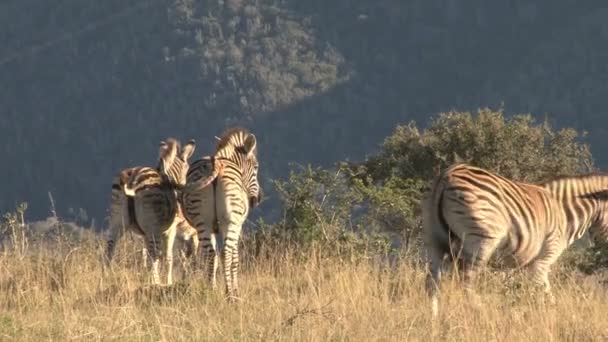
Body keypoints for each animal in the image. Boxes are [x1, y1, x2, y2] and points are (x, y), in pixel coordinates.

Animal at [105, 138, 196, 284]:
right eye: (187, 171)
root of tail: (132, 180)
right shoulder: (170, 229)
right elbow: (167, 257)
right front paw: (167, 282)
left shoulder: (145, 234)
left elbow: (147, 256)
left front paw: (147, 278)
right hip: (153, 227)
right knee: (154, 254)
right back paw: (156, 281)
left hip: (116, 220)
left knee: (109, 250)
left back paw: (105, 278)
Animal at [180, 127, 262, 300]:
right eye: (256, 167)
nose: (257, 199)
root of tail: (216, 165)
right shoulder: (238, 225)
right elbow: (234, 258)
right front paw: (235, 290)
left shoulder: (211, 227)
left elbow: (213, 257)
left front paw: (212, 285)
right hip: (230, 220)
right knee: (226, 253)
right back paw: (230, 295)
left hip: (202, 221)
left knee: (211, 254)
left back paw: (210, 291)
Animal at [422, 163, 608, 316]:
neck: (564, 212)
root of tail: (447, 175)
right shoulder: (543, 260)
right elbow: (546, 294)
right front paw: (554, 318)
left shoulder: (519, 265)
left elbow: (518, 293)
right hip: (482, 241)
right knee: (466, 284)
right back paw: (483, 312)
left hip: (434, 239)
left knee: (432, 283)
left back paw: (433, 321)